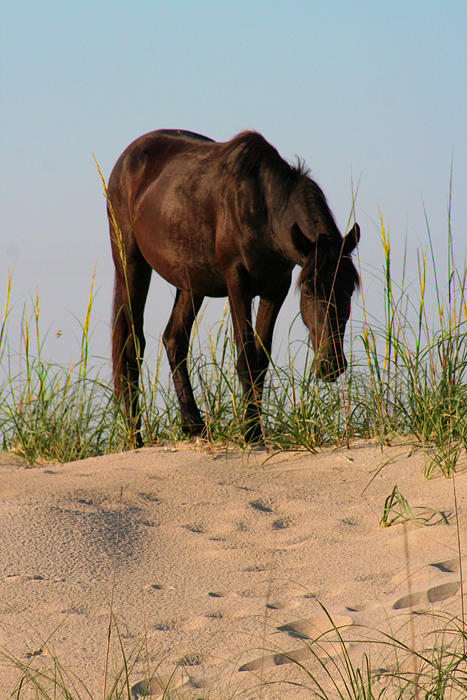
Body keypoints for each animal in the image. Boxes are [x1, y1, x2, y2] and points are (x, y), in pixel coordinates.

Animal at [108, 129, 360, 446]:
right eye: (309, 290)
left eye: (348, 290)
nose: (331, 365)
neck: (263, 206)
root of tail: (126, 160)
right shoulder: (237, 283)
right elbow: (246, 359)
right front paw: (251, 434)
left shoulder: (275, 288)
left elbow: (260, 361)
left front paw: (256, 429)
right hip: (131, 264)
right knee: (131, 343)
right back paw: (135, 436)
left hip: (190, 284)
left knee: (174, 340)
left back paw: (194, 426)